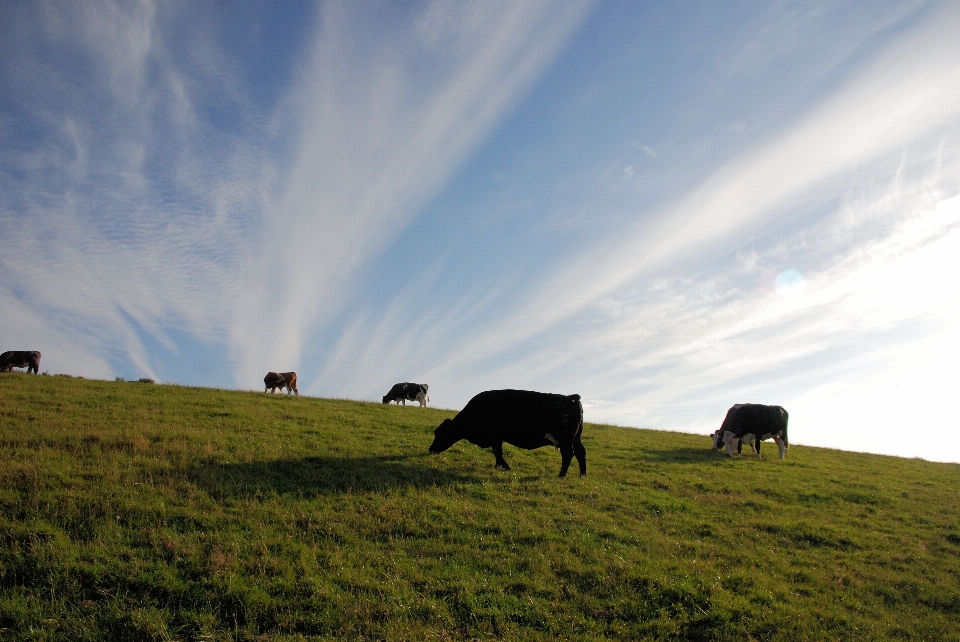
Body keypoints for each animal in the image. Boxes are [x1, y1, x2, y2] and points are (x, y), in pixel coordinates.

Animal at [430, 384, 584, 476]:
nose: (431, 449)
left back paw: (561, 475)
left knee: (568, 454)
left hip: (565, 439)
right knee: (581, 452)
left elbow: (498, 452)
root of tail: (571, 398)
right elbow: (497, 453)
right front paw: (499, 466)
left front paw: (504, 466)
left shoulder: (495, 437)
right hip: (576, 438)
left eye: (439, 433)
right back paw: (582, 474)